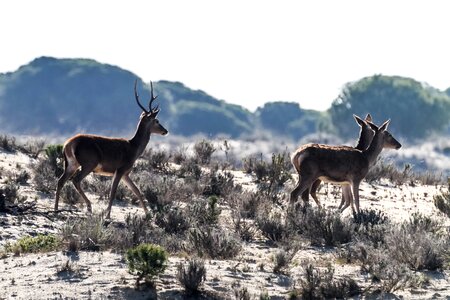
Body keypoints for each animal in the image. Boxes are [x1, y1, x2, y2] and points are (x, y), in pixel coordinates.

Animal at [55, 81, 168, 219]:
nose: (165, 131)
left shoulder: (126, 173)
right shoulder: (120, 169)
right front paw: (107, 215)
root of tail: (69, 144)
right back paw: (89, 207)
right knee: (75, 180)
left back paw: (56, 209)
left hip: (71, 164)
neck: (134, 148)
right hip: (89, 163)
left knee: (60, 181)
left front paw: (148, 215)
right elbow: (113, 192)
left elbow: (137, 191)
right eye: (157, 120)